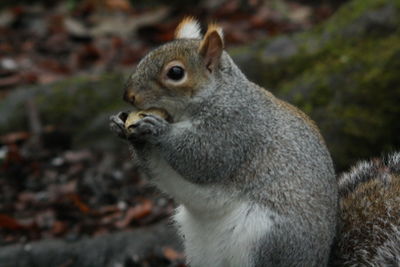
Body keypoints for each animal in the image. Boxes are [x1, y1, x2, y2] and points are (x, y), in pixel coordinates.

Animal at [109, 17, 400, 266]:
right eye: (145, 56)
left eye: (176, 72)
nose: (129, 95)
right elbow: (162, 173)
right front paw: (120, 124)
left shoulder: (236, 130)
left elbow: (202, 158)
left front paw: (157, 129)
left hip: (265, 240)